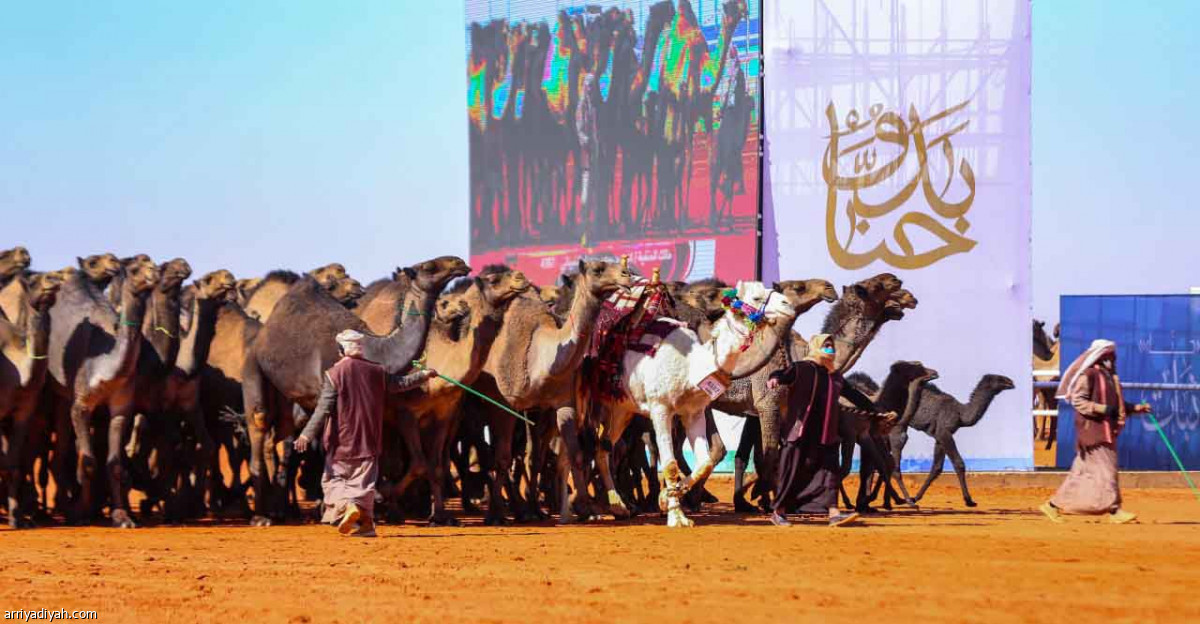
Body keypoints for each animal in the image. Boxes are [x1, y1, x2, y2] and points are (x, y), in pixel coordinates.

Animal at [43, 258, 159, 525]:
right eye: (135, 268)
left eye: (154, 263)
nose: (153, 274)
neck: (106, 368)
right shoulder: (82, 403)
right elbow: (88, 461)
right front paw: (82, 513)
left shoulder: (121, 406)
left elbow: (114, 463)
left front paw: (122, 516)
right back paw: (64, 507)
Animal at [241, 255, 465, 523]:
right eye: (428, 267)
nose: (460, 263)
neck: (374, 347)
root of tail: (264, 334)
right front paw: (360, 502)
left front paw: (370, 500)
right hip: (253, 367)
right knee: (260, 419)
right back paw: (262, 516)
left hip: (290, 399)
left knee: (282, 437)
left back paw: (281, 509)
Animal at [592, 283, 796, 525]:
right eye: (756, 297)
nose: (787, 304)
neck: (691, 365)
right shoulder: (660, 409)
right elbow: (670, 463)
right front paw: (676, 516)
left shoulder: (694, 412)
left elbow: (705, 460)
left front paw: (666, 499)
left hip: (621, 409)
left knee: (604, 447)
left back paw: (619, 506)